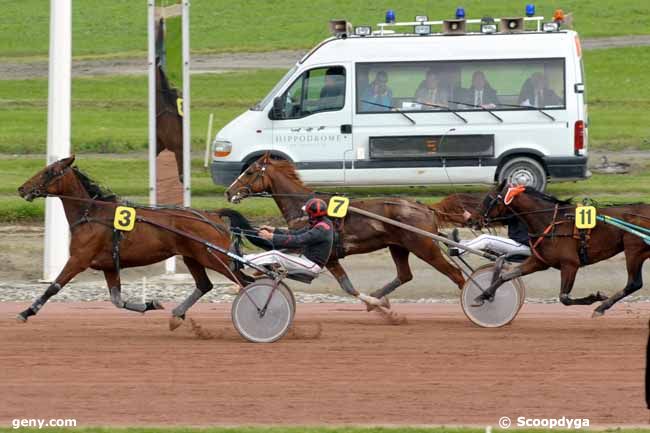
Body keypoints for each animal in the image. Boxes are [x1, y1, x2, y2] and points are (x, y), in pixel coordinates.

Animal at [17, 155, 251, 328]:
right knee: (205, 285)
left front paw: (27, 311)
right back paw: (178, 313)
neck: (91, 213)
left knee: (245, 282)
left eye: (48, 172)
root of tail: (212, 215)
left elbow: (54, 287)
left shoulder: (79, 259)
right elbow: (117, 300)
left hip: (215, 258)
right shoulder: (109, 266)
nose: (22, 188)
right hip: (192, 256)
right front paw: (151, 304)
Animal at [223, 154, 480, 302]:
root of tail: (425, 207)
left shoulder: (313, 249)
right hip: (398, 246)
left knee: (456, 274)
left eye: (250, 171)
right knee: (404, 275)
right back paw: (376, 298)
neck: (304, 206)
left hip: (425, 247)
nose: (228, 191)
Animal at [470, 181, 648, 316]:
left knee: (634, 283)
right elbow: (506, 276)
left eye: (489, 199)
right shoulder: (539, 262)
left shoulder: (570, 264)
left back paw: (601, 307)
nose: (472, 219)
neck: (550, 220)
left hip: (634, 249)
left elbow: (564, 297)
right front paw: (483, 295)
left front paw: (594, 298)